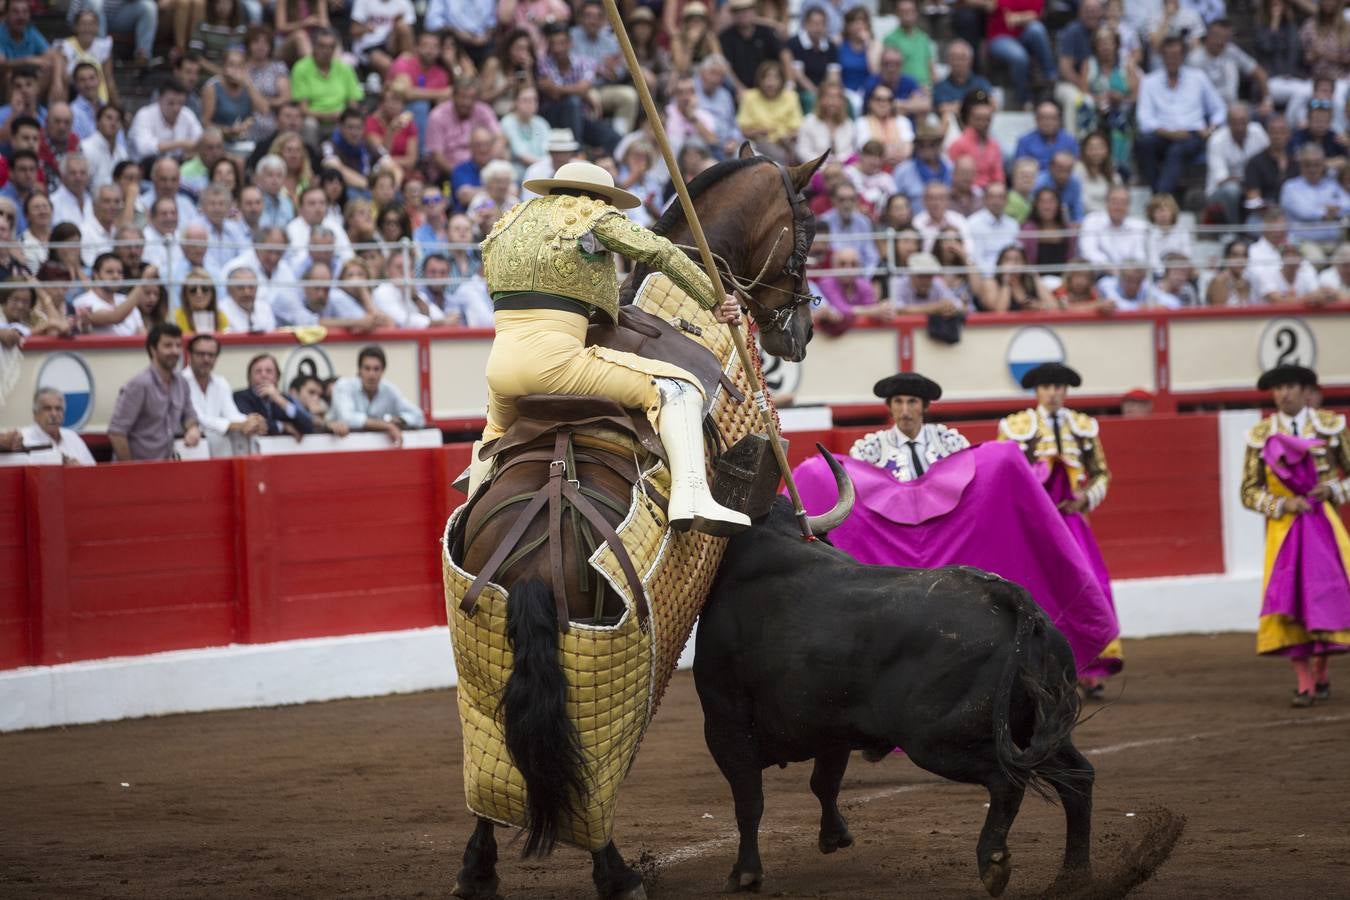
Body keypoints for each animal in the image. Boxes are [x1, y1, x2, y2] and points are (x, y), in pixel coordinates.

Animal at [448, 144, 837, 895]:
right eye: (805, 233)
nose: (802, 330)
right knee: (591, 783)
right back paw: (619, 872)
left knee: (494, 772)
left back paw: (477, 868)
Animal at [696, 485, 1096, 900]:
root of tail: (1010, 597)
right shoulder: (832, 724)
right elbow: (824, 781)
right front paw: (834, 837)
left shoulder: (725, 721)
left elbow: (749, 799)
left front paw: (745, 874)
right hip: (1032, 730)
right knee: (1078, 778)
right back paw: (1073, 876)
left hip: (938, 740)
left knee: (1007, 780)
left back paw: (994, 863)